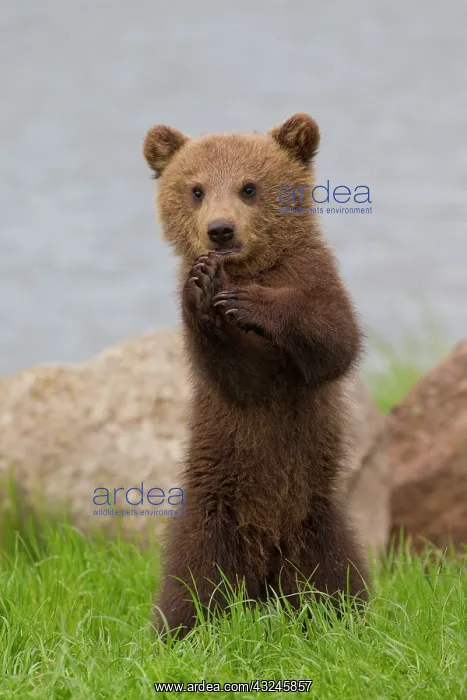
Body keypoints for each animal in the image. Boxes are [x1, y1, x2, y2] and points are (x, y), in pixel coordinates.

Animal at [143, 113, 368, 638]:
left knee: (335, 579)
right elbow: (238, 377)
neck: (252, 268)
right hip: (212, 518)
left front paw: (252, 303)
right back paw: (180, 633)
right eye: (196, 189)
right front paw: (204, 291)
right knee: (193, 586)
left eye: (249, 187)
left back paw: (342, 621)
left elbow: (335, 341)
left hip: (316, 519)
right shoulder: (234, 382)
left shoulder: (315, 277)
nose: (220, 231)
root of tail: (265, 570)